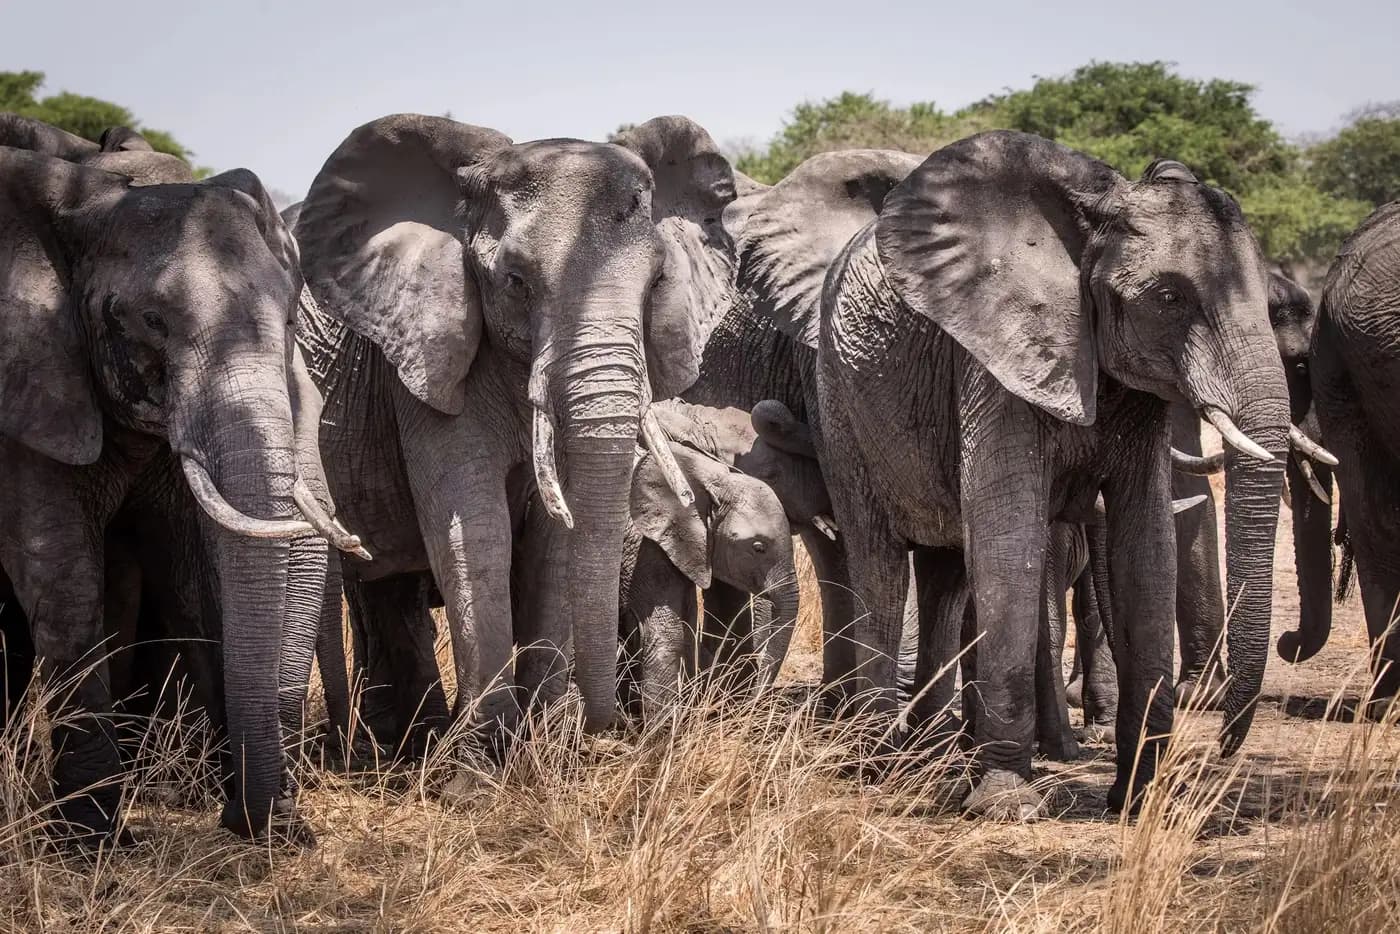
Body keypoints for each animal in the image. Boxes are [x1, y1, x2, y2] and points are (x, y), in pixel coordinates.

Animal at [0, 131, 363, 845]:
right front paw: (93, 845)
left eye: (289, 320)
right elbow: (62, 575)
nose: (281, 828)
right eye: (151, 321)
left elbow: (190, 571)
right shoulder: (32, 387)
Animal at [291, 114, 737, 754]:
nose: (605, 728)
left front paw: (545, 745)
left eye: (657, 283)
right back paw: (401, 746)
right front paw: (481, 761)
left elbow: (554, 540)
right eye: (516, 281)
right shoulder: (427, 355)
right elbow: (475, 527)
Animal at [814, 131, 1290, 818]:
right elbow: (1010, 538)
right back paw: (876, 765)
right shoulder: (996, 361)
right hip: (840, 405)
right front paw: (1006, 804)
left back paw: (926, 759)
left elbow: (1146, 549)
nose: (1226, 744)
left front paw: (1138, 800)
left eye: (1274, 306)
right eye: (1168, 298)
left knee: (945, 574)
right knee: (877, 560)